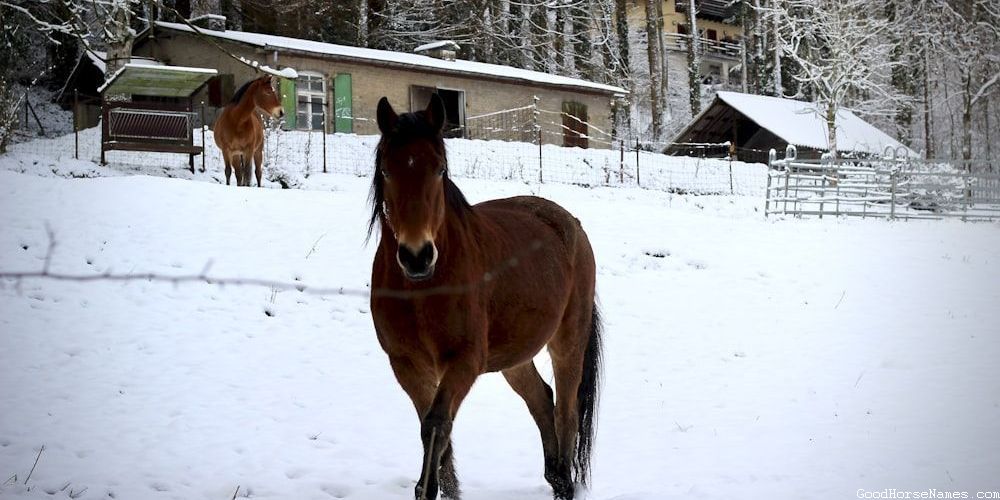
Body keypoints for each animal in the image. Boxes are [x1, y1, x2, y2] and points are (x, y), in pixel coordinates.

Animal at [368, 93, 603, 500]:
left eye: (440, 169)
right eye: (386, 170)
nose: (417, 255)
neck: (424, 289)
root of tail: (570, 224)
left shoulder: (464, 361)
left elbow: (436, 425)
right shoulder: (406, 364)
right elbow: (435, 432)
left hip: (568, 343)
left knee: (566, 414)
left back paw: (564, 484)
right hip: (515, 357)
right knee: (542, 400)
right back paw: (555, 476)